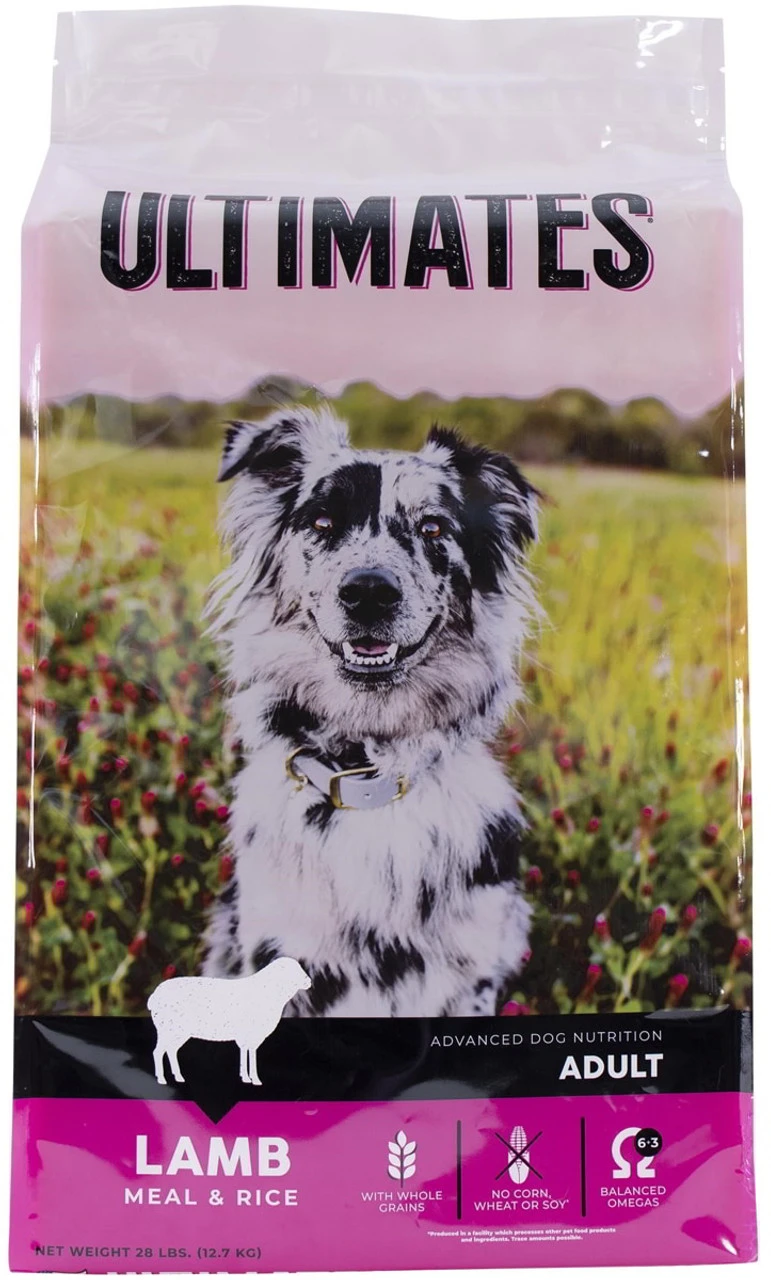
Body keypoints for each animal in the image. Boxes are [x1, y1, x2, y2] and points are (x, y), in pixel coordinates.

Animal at [148, 956, 311, 1086]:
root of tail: (153, 997)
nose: (309, 981)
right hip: (167, 1029)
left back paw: (178, 1077)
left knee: (170, 1050)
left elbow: (245, 1053)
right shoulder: (250, 1035)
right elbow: (250, 1054)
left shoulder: (246, 1037)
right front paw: (254, 1079)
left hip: (178, 1033)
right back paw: (162, 1079)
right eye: (291, 970)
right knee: (158, 1052)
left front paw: (245, 1077)